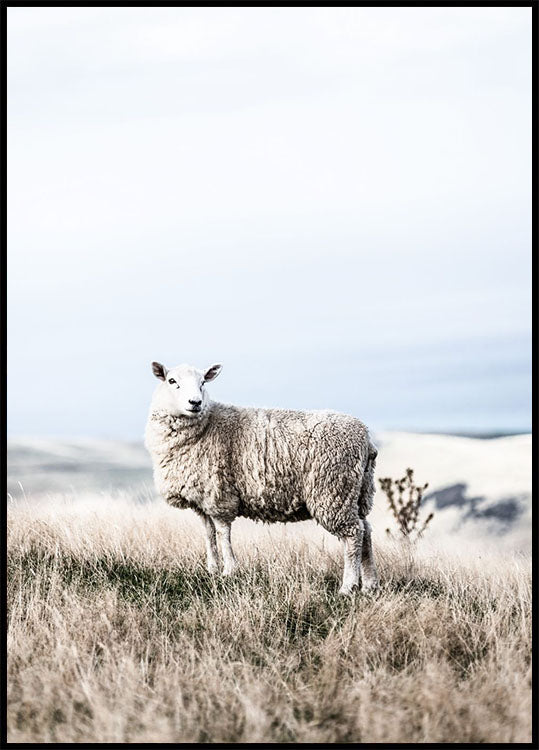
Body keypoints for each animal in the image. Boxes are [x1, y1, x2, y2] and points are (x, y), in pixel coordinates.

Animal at [143, 362, 380, 596]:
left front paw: (229, 571)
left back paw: (348, 586)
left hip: (333, 491)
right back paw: (370, 584)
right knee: (366, 530)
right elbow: (209, 534)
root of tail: (366, 438)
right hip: (357, 492)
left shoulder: (219, 496)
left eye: (203, 383)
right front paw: (212, 569)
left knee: (353, 534)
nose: (195, 402)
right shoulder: (201, 499)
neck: (207, 425)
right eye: (172, 381)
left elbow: (223, 533)